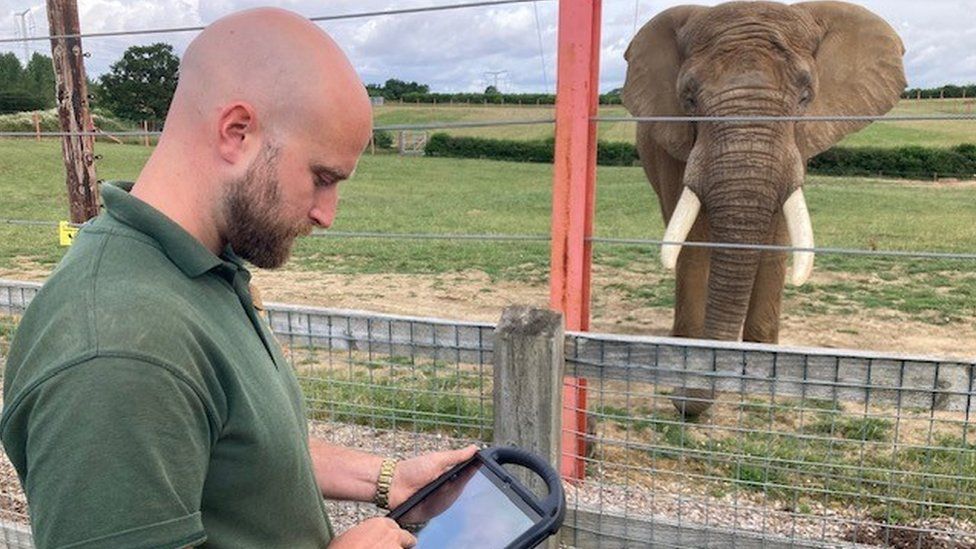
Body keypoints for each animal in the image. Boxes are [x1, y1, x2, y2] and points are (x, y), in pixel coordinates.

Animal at [624, 1, 908, 416]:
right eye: (689, 99)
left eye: (806, 96)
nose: (679, 400)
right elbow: (693, 241)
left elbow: (776, 238)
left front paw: (763, 367)